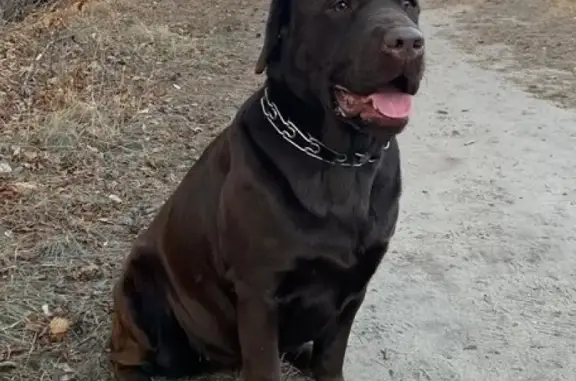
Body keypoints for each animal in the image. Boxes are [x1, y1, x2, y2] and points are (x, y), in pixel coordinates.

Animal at [109, 0, 424, 380]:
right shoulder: (259, 293)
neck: (339, 162)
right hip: (137, 289)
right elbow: (265, 364)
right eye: (339, 6)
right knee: (128, 358)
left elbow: (331, 358)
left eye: (409, 5)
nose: (408, 42)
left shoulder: (355, 286)